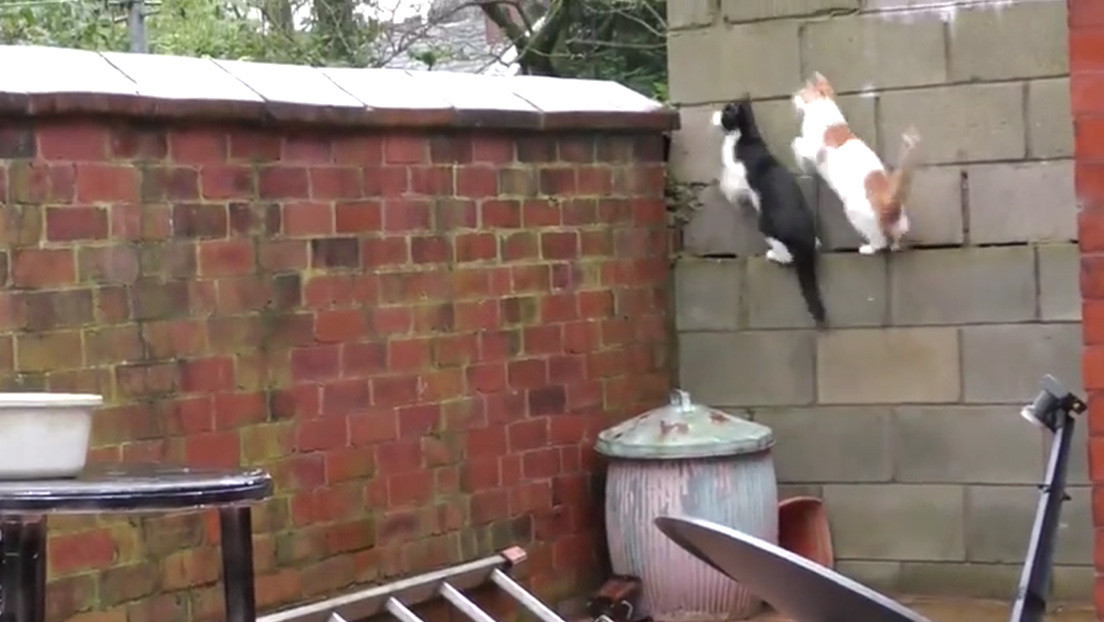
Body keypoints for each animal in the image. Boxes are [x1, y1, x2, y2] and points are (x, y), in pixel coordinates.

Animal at [710, 97, 825, 327]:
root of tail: (805, 241)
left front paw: (726, 190)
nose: (714, 113)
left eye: (725, 112)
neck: (746, 136)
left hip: (766, 224)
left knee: (787, 255)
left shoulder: (739, 173)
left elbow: (731, 181)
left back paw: (774, 255)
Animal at [790, 72, 918, 255]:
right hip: (901, 222)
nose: (792, 97)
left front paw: (801, 164)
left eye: (801, 93)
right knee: (896, 236)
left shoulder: (813, 149)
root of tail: (888, 203)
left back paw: (868, 248)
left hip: (855, 213)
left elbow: (796, 143)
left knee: (880, 242)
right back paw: (896, 245)